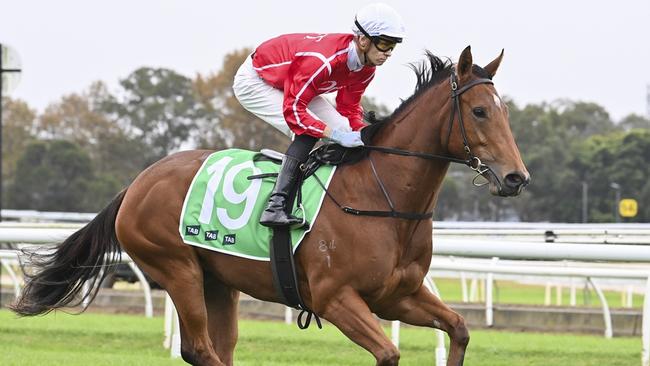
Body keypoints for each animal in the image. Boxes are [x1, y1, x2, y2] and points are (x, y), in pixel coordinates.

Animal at [10, 46, 528, 366]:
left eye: (506, 112)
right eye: (479, 111)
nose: (516, 178)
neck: (382, 199)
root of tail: (137, 183)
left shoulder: (398, 295)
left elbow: (459, 329)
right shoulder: (335, 298)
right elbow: (388, 353)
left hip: (219, 282)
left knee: (219, 348)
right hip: (178, 270)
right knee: (200, 348)